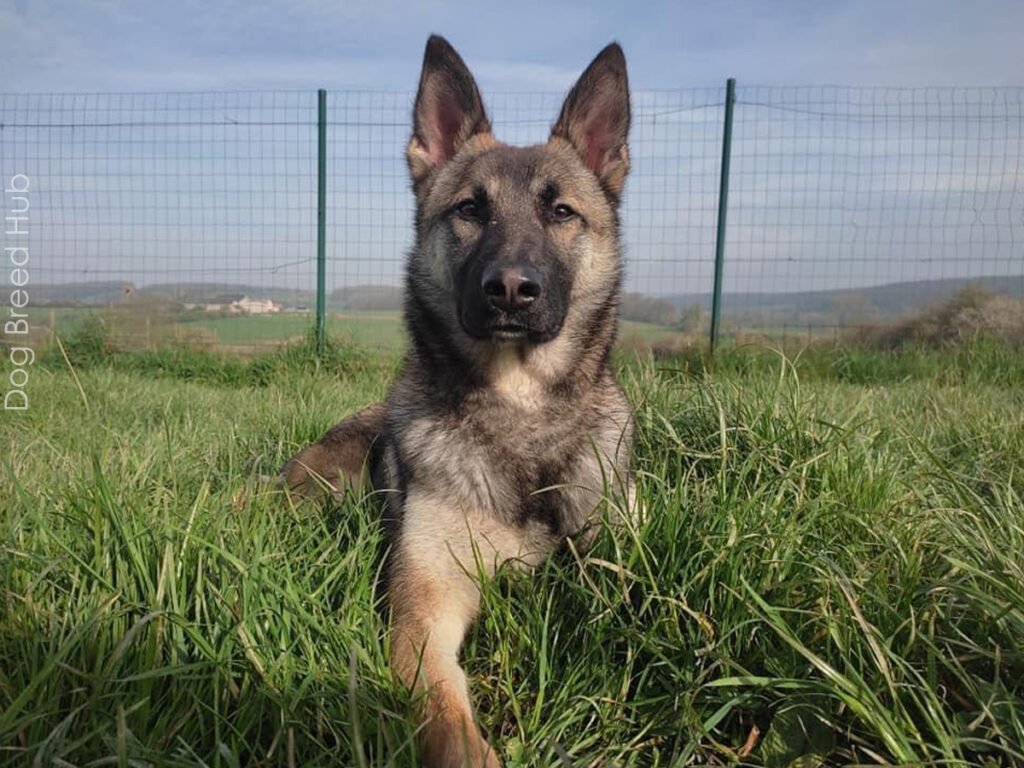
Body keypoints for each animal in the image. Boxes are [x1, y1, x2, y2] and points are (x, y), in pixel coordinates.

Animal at [280, 34, 630, 768]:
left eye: (561, 212)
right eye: (470, 209)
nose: (510, 290)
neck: (521, 410)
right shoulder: (428, 606)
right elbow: (445, 711)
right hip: (317, 489)